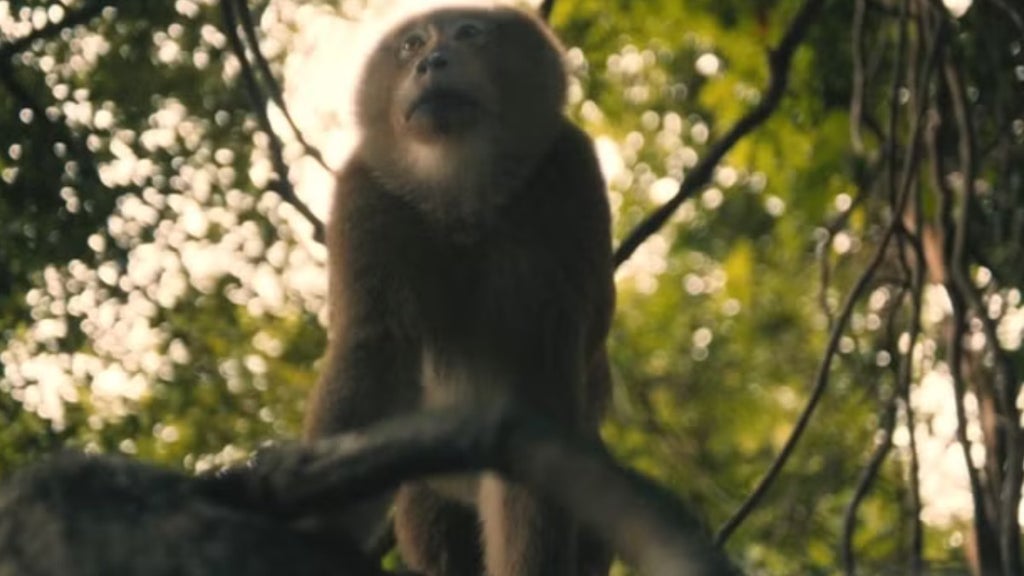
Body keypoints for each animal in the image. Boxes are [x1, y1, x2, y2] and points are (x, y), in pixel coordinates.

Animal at [303, 6, 615, 576]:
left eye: (470, 32)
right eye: (411, 44)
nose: (431, 61)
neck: (460, 196)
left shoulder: (568, 178)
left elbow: (539, 378)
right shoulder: (367, 191)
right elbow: (375, 357)